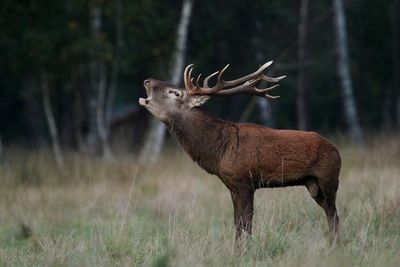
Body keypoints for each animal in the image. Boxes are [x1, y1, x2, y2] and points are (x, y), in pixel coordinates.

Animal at [138, 61, 340, 249]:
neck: (220, 151)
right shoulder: (232, 186)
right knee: (330, 213)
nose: (147, 80)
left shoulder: (245, 181)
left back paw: (334, 246)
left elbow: (245, 221)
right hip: (312, 185)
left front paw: (244, 251)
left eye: (175, 93)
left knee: (334, 215)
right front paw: (237, 250)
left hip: (328, 180)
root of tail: (336, 151)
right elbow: (237, 221)